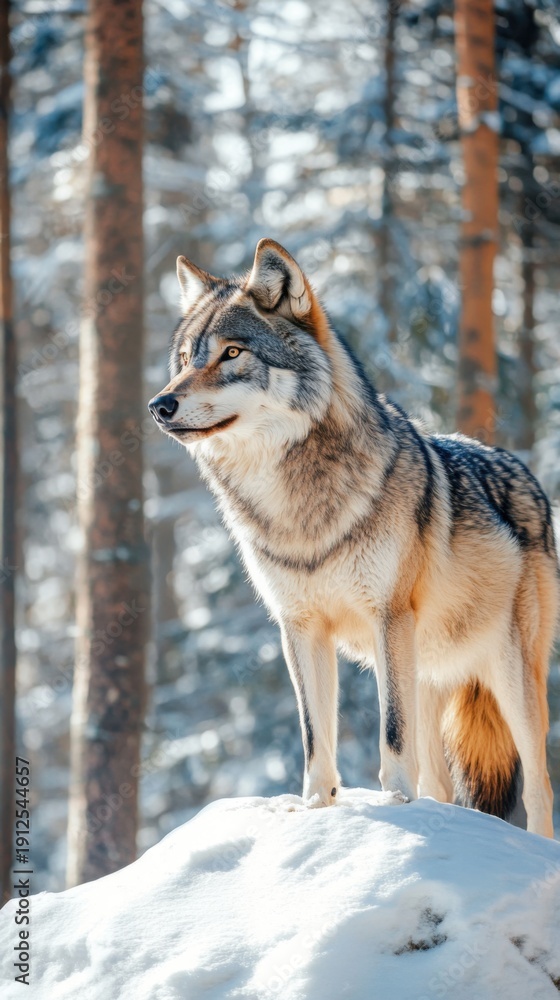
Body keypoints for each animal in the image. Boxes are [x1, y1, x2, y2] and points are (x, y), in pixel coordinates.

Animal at [149, 238, 558, 837]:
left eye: (231, 353)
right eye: (185, 360)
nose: (160, 405)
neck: (297, 508)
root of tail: (523, 469)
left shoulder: (388, 616)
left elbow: (390, 732)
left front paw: (392, 807)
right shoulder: (299, 628)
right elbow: (314, 736)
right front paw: (316, 812)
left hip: (510, 677)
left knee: (539, 790)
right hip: (429, 673)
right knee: (441, 784)